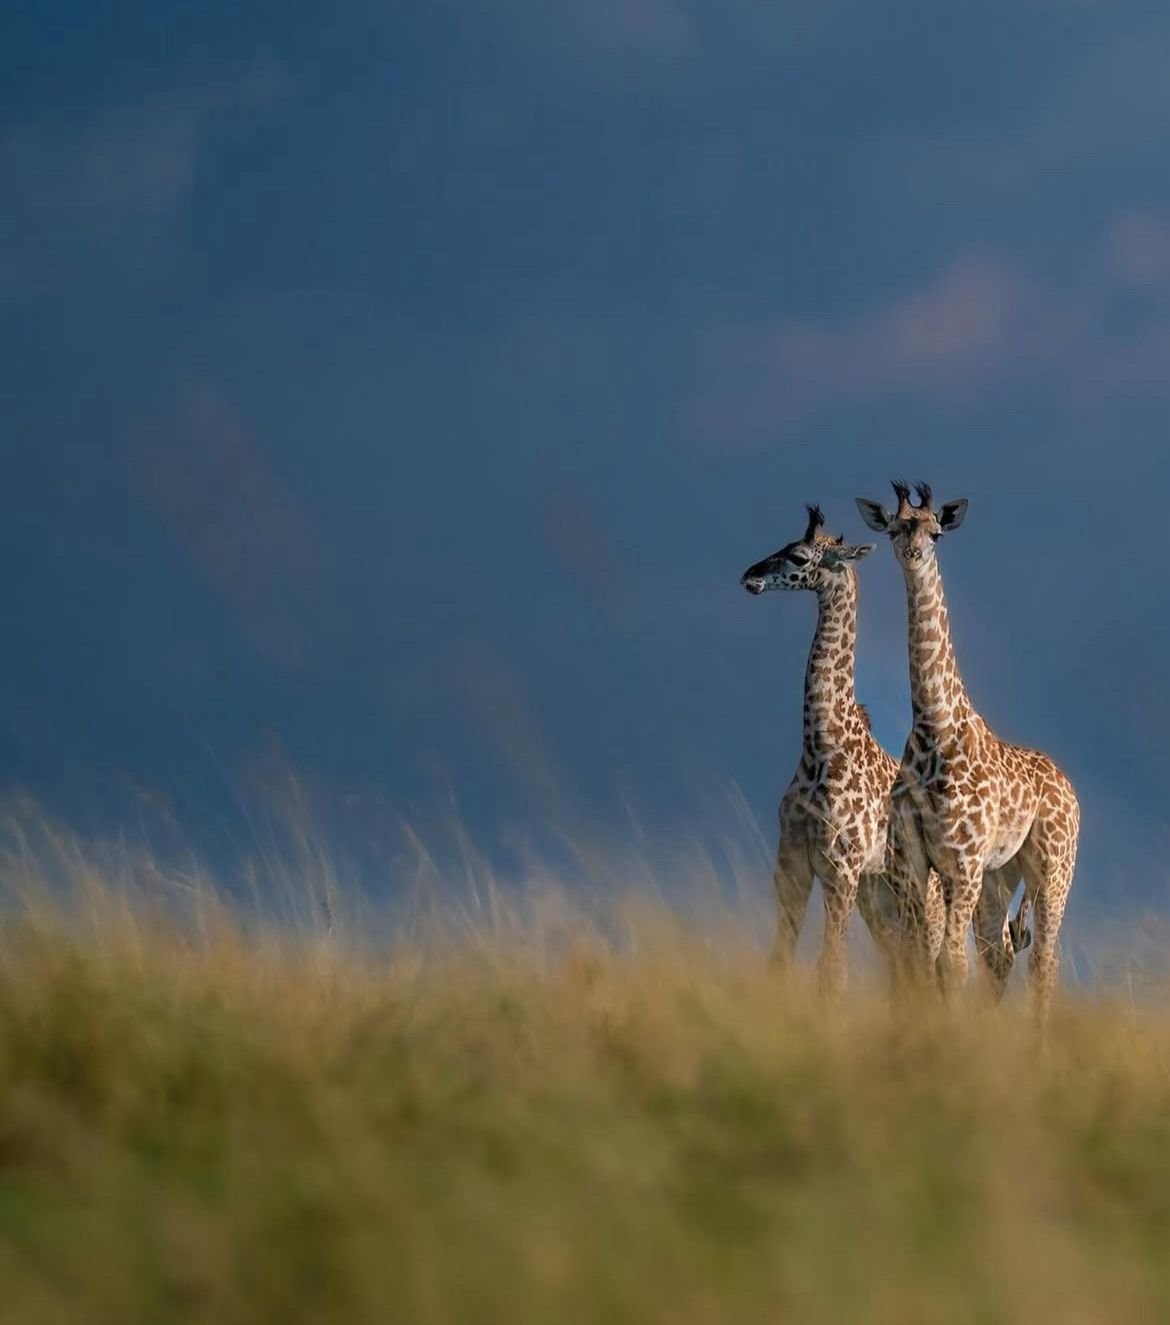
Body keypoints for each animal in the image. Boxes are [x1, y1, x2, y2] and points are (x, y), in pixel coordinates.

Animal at [741, 504, 944, 997]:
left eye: (798, 557)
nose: (750, 576)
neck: (820, 744)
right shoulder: (791, 861)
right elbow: (781, 960)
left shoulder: (841, 867)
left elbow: (832, 969)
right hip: (882, 899)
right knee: (905, 971)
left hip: (923, 901)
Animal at [855, 482, 1079, 1020]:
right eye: (895, 528)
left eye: (935, 531)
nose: (914, 554)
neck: (936, 726)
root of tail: (1069, 787)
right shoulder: (914, 860)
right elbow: (923, 960)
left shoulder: (962, 860)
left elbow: (951, 964)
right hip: (1000, 876)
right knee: (1001, 955)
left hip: (1052, 869)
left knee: (1044, 959)